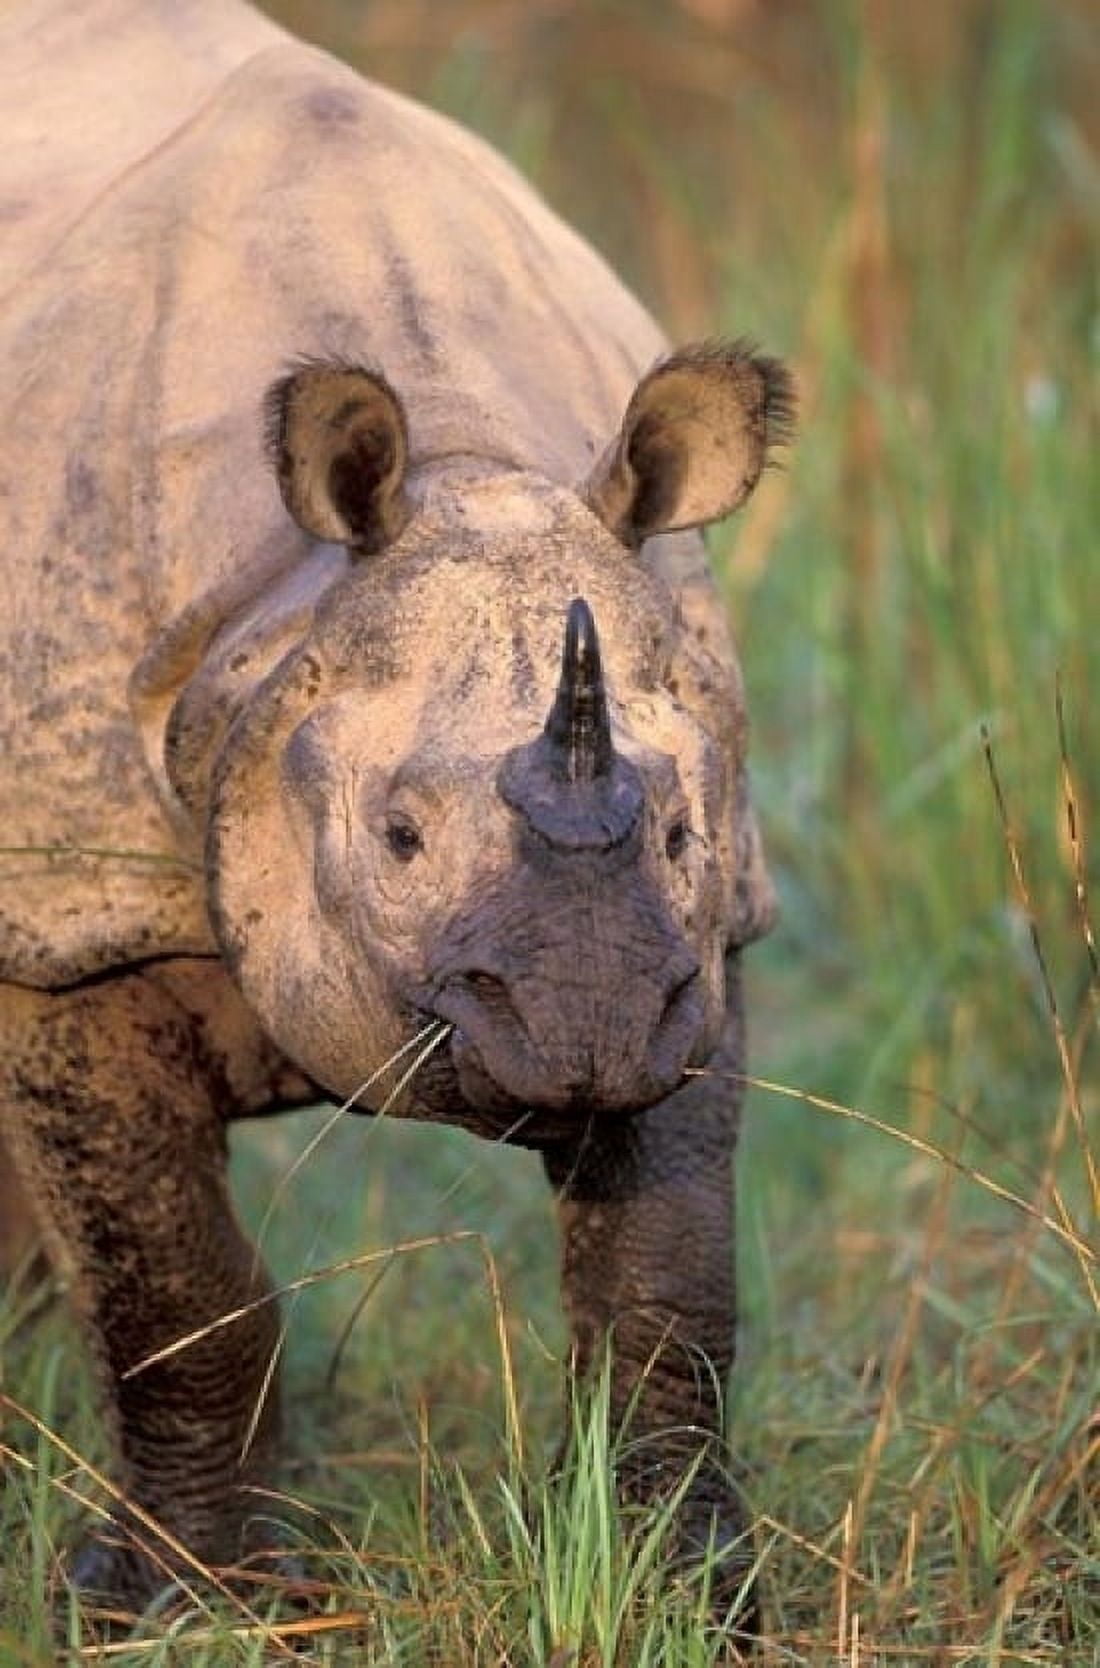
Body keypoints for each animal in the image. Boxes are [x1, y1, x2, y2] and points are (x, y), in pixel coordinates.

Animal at [0, 0, 792, 1621]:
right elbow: (175, 1286)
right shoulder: (72, 909)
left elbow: (668, 1286)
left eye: (682, 834)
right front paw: (180, 1604)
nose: (582, 1029)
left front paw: (692, 1591)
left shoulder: (701, 952)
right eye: (398, 837)